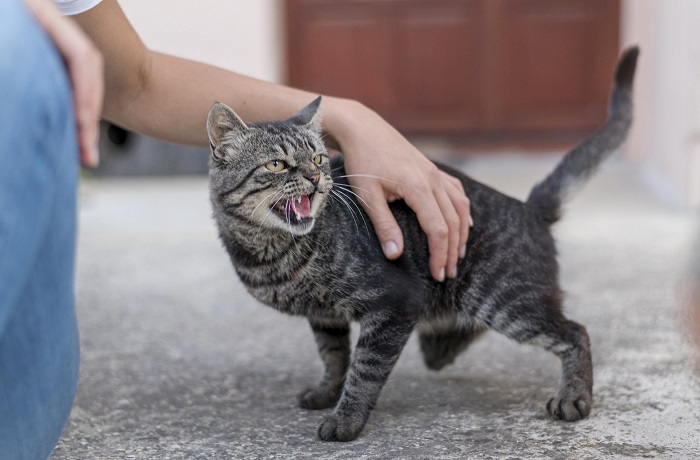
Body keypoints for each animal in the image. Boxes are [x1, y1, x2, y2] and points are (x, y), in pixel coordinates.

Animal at [205, 47, 636, 442]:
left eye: (319, 159)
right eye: (277, 164)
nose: (314, 177)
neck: (272, 255)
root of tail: (529, 209)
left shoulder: (395, 302)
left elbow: (364, 369)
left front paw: (346, 420)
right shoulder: (326, 317)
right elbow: (334, 356)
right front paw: (328, 392)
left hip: (504, 300)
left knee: (575, 332)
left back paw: (574, 396)